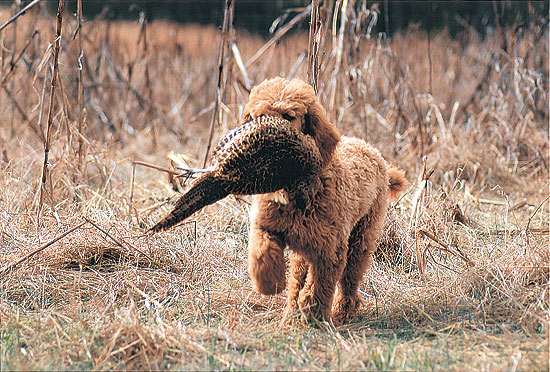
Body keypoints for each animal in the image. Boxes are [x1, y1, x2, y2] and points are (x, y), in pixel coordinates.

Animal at [244, 77, 408, 324]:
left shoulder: (329, 251)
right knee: (297, 281)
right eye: (259, 116)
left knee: (349, 282)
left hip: (360, 240)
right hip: (305, 250)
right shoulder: (267, 226)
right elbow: (262, 252)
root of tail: (372, 151)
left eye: (289, 116)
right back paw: (291, 312)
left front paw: (311, 319)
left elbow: (317, 290)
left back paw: (342, 313)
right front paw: (268, 283)